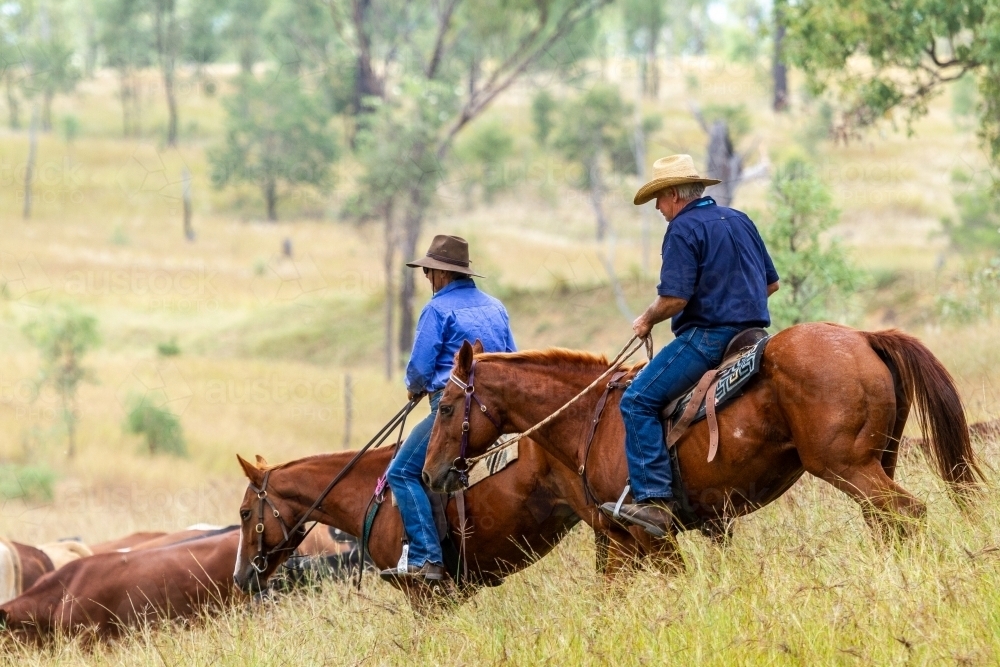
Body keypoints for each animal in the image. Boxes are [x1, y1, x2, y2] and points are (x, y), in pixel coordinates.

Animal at [424, 322, 984, 564]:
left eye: (446, 407)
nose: (430, 473)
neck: (590, 419)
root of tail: (864, 337)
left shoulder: (649, 535)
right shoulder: (655, 534)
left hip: (848, 466)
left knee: (907, 513)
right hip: (876, 462)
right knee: (886, 521)